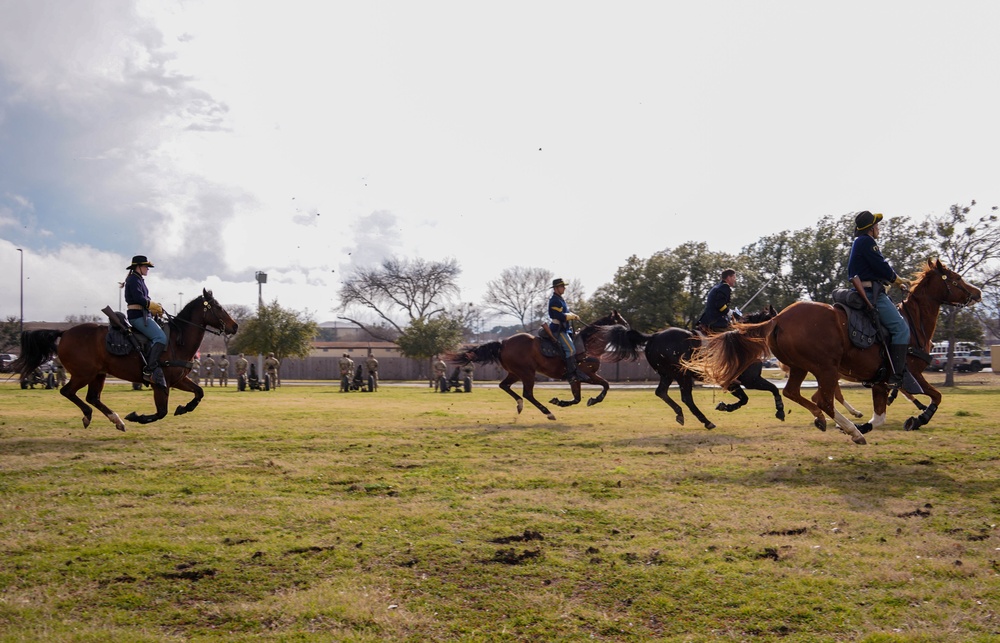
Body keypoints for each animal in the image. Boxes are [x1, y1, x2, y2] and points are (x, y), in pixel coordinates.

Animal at [9, 290, 238, 432]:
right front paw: (137, 417)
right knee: (69, 392)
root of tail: (64, 333)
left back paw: (115, 420)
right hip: (84, 374)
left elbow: (199, 392)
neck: (176, 340)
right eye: (218, 307)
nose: (235, 326)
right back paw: (91, 415)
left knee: (93, 397)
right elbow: (161, 412)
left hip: (98, 375)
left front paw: (183, 408)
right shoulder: (160, 383)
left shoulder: (178, 380)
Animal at [452, 314, 628, 422]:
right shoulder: (587, 374)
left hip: (515, 373)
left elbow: (580, 397)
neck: (588, 343)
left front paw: (560, 402)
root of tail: (503, 343)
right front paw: (593, 400)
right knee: (528, 394)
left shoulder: (577, 379)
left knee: (505, 386)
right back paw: (548, 413)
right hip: (527, 373)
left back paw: (520, 405)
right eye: (621, 321)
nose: (629, 329)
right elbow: (605, 385)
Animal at [684, 260, 980, 446]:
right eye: (956, 279)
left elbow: (881, 415)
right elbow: (936, 396)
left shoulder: (881, 380)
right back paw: (849, 428)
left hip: (804, 368)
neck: (912, 321)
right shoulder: (911, 373)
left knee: (795, 392)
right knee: (822, 399)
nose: (977, 292)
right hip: (825, 368)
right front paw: (918, 418)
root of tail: (778, 318)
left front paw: (869, 423)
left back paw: (829, 421)